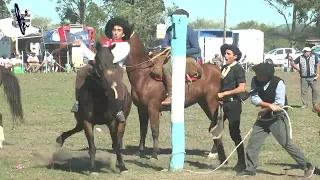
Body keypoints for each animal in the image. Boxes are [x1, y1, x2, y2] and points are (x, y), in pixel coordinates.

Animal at [56, 42, 131, 173]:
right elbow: (92, 146)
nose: (112, 83)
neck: (99, 98)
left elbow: (116, 144)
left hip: (123, 121)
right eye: (98, 61)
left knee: (118, 138)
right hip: (81, 121)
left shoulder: (112, 122)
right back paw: (60, 139)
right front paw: (92, 169)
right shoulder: (87, 122)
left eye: (113, 61)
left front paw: (123, 167)